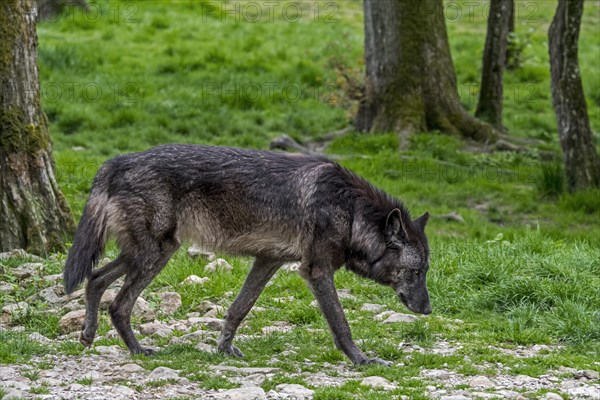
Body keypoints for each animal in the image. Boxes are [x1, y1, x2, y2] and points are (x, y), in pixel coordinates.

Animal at [64, 145, 432, 366]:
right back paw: (138, 351)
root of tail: (115, 162)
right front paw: (362, 360)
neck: (349, 210)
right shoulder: (315, 270)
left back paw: (88, 335)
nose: (428, 310)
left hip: (151, 253)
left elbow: (239, 308)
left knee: (95, 279)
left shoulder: (268, 261)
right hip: (155, 254)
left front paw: (225, 349)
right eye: (416, 272)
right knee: (118, 303)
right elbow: (341, 324)